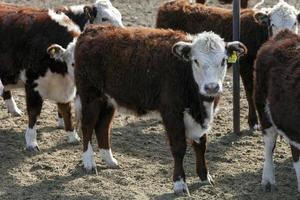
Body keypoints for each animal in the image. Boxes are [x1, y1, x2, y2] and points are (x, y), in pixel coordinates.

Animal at [57, 25, 247, 194]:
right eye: (196, 61)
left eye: (223, 61)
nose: (211, 87)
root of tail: (91, 31)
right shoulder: (171, 112)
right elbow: (179, 148)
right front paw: (179, 184)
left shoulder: (199, 118)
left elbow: (201, 145)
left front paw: (204, 176)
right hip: (90, 96)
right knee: (88, 126)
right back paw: (89, 163)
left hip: (108, 100)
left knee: (102, 127)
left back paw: (110, 160)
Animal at [156, 0, 300, 130]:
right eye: (272, 24)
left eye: (294, 23)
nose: (284, 35)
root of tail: (169, 4)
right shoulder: (246, 68)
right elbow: (249, 93)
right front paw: (253, 122)